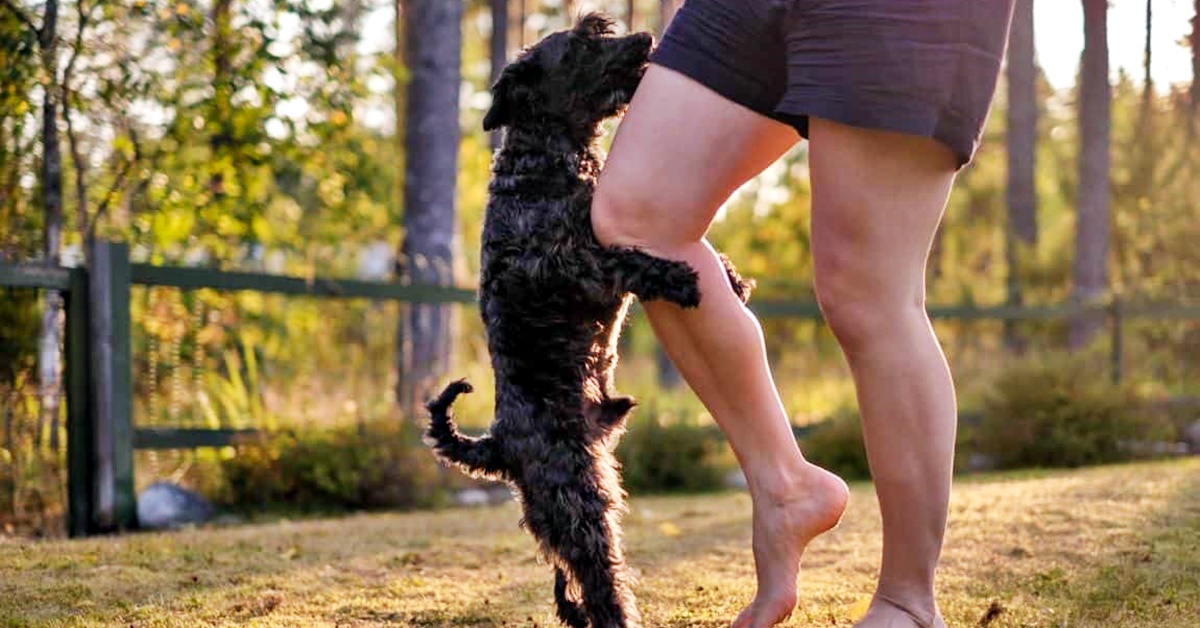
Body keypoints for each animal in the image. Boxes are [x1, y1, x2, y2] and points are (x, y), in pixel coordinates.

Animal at [427, 13, 753, 628]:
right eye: (581, 44)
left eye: (599, 29)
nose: (644, 39)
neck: (543, 166)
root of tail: (497, 445)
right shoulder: (570, 268)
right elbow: (625, 257)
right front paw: (681, 278)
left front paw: (730, 274)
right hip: (578, 502)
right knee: (600, 582)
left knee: (569, 587)